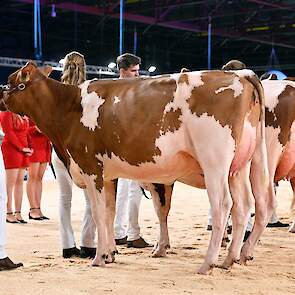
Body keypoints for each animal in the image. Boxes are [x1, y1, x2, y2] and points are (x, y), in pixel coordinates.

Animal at [0, 62, 270, 276]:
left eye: (11, 81)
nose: (0, 95)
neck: (69, 108)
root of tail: (240, 74)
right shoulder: (108, 175)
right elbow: (109, 213)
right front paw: (110, 254)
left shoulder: (91, 169)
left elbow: (98, 214)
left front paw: (98, 258)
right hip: (238, 166)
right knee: (244, 205)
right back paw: (229, 259)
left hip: (214, 161)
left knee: (223, 205)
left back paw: (208, 263)